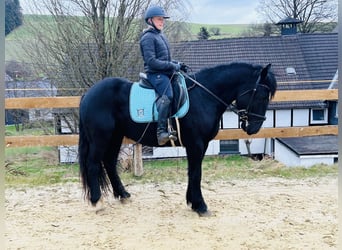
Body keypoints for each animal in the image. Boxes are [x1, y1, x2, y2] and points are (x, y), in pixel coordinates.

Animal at [79, 62, 276, 215]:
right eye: (261, 95)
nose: (254, 128)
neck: (205, 96)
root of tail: (88, 95)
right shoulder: (196, 144)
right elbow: (196, 173)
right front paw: (200, 206)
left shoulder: (200, 145)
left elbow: (193, 172)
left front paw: (192, 201)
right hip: (100, 138)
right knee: (93, 164)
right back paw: (97, 201)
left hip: (115, 136)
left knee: (109, 163)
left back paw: (123, 195)